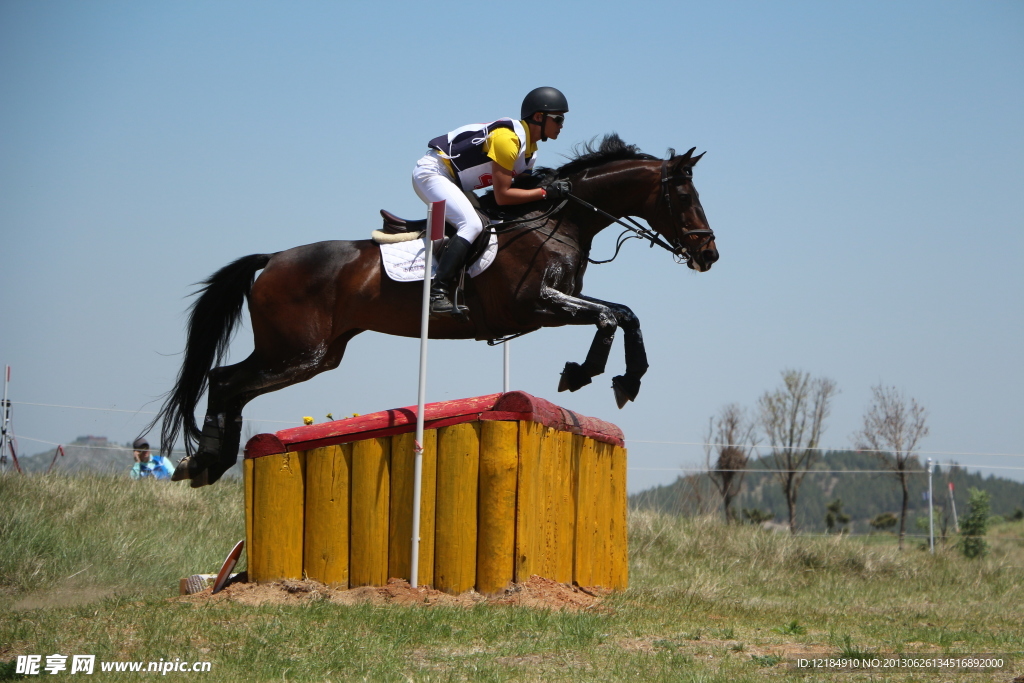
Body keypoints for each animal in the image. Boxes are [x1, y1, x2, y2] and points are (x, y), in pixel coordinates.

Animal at [151, 133, 716, 485]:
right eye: (685, 195)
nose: (709, 254)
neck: (558, 219)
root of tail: (271, 260)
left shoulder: (553, 306)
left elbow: (625, 314)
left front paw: (625, 377)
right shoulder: (537, 306)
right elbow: (610, 315)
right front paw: (587, 373)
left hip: (312, 354)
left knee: (228, 381)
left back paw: (208, 463)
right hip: (297, 354)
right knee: (226, 380)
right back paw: (204, 462)